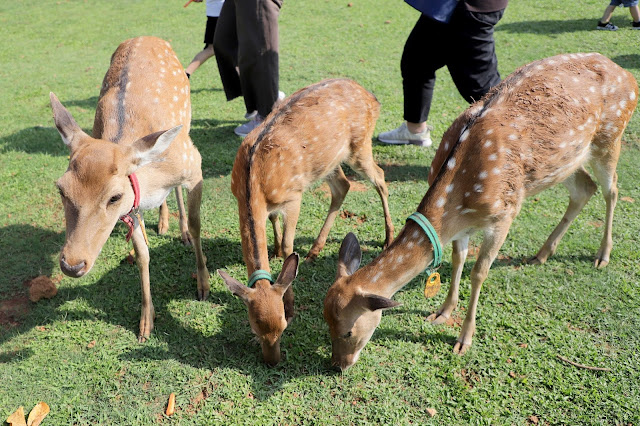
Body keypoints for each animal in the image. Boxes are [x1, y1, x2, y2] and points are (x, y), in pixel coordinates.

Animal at [51, 35, 210, 342]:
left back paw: (181, 230)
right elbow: (142, 254)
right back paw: (163, 222)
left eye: (115, 196)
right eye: (61, 189)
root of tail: (145, 37)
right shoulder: (133, 207)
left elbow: (198, 225)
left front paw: (203, 284)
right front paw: (146, 323)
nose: (72, 265)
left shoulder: (194, 164)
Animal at [221, 78, 396, 364]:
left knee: (380, 178)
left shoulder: (294, 196)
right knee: (343, 186)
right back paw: (315, 249)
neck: (253, 182)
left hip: (360, 146)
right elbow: (273, 225)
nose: (273, 361)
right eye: (254, 328)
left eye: (283, 326)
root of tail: (373, 98)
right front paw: (274, 249)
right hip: (329, 161)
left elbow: (289, 246)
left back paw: (388, 237)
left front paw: (291, 300)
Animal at [324, 52, 640, 370]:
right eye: (326, 322)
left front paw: (464, 339)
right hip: (564, 162)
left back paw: (602, 255)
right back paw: (542, 253)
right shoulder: (461, 227)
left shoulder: (504, 214)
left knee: (612, 189)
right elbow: (457, 259)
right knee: (584, 188)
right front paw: (441, 312)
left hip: (609, 138)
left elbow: (478, 272)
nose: (339, 364)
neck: (459, 197)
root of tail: (628, 75)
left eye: (348, 330)